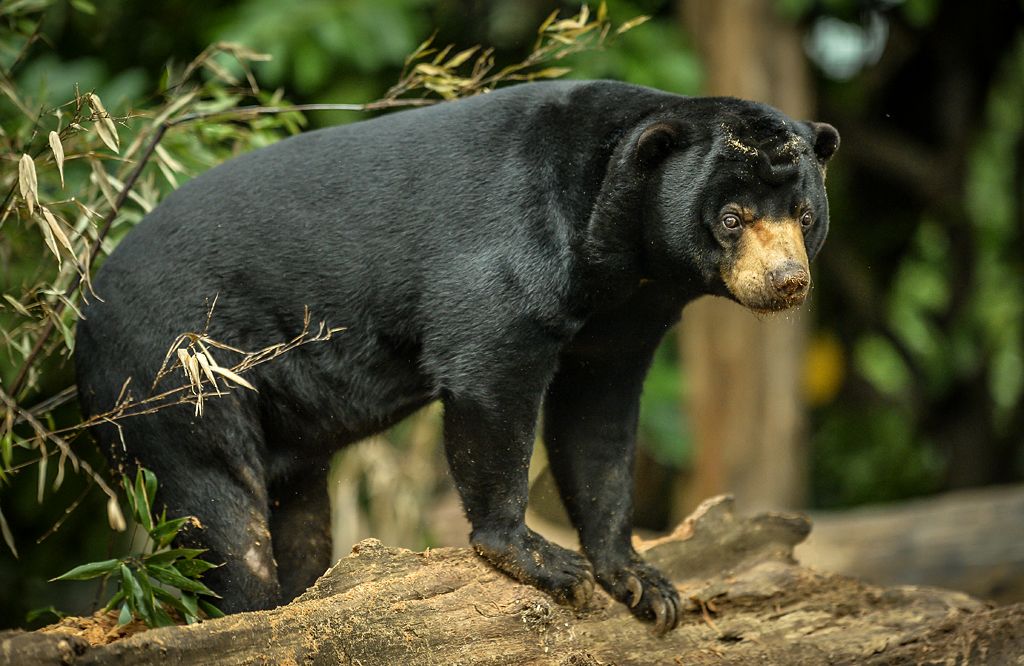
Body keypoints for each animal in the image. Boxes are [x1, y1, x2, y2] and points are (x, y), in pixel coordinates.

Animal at [74, 80, 839, 631]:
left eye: (805, 217)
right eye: (732, 218)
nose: (787, 281)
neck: (624, 260)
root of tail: (85, 315)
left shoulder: (622, 322)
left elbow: (598, 430)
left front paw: (644, 584)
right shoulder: (511, 254)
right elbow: (489, 377)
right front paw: (542, 560)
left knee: (297, 515)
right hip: (177, 368)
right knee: (221, 503)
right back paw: (250, 612)